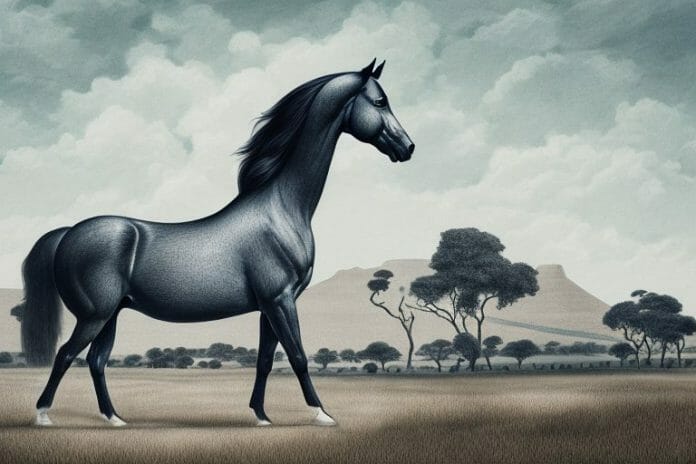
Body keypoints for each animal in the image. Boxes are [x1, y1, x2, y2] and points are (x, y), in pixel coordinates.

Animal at [20, 59, 414, 428]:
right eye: (380, 101)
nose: (408, 148)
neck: (280, 208)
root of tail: (69, 232)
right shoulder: (280, 300)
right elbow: (299, 356)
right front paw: (321, 413)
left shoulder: (269, 306)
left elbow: (266, 360)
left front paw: (261, 414)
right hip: (95, 315)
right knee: (66, 355)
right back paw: (43, 415)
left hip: (111, 314)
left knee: (96, 361)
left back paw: (114, 418)